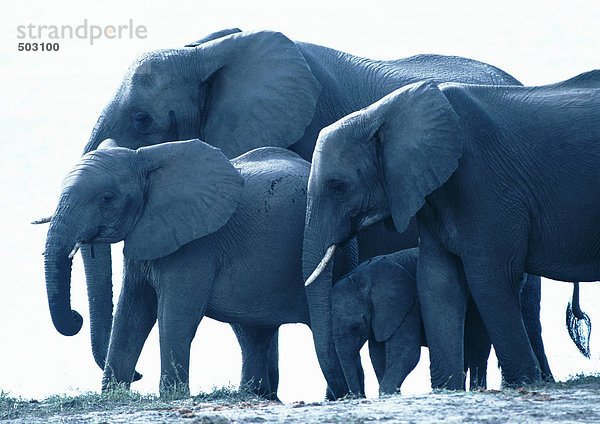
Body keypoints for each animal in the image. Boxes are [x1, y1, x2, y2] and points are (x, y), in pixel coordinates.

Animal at [44, 138, 358, 398]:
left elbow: (175, 315)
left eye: (107, 198)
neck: (145, 158)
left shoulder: (194, 245)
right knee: (253, 334)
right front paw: (112, 396)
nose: (76, 317)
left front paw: (172, 396)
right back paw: (254, 395)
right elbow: (132, 312)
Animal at [330, 247, 552, 396]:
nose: (358, 397)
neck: (363, 276)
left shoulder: (406, 302)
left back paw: (476, 389)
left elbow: (407, 351)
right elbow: (377, 354)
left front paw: (388, 392)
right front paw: (391, 394)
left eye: (355, 327)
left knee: (477, 346)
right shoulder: (383, 316)